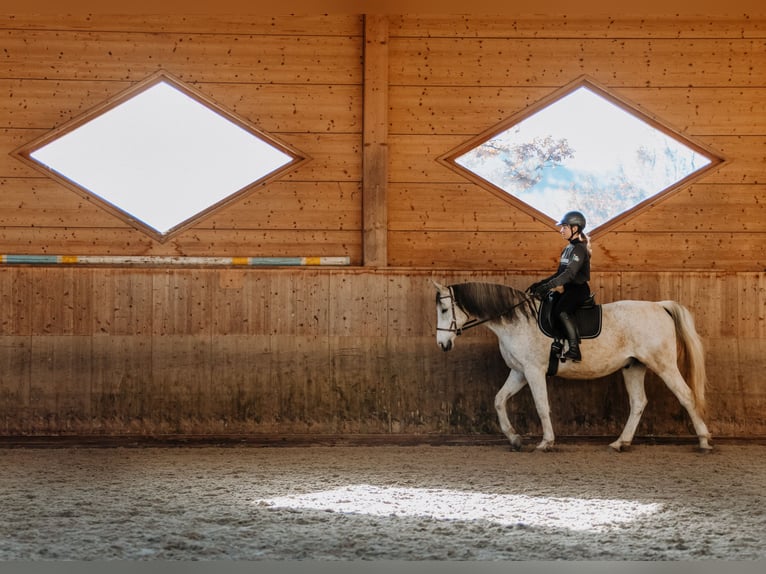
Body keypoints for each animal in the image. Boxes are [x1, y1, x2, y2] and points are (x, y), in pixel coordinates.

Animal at [432, 282, 712, 454]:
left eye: (445, 309)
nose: (443, 344)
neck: (518, 321)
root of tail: (659, 305)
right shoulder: (519, 372)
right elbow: (499, 400)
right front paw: (514, 439)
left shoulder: (533, 371)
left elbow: (542, 406)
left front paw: (546, 443)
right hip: (633, 367)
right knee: (638, 403)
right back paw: (620, 443)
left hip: (663, 364)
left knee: (686, 396)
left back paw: (704, 441)